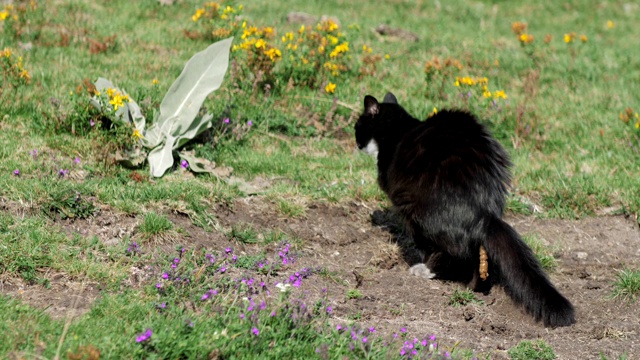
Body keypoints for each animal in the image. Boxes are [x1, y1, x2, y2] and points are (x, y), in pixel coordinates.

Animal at [356, 92, 576, 326]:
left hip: (417, 214)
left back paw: (426, 270)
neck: (399, 129)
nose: (357, 143)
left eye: (357, 126)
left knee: (446, 251)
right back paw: (475, 286)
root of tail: (484, 211)